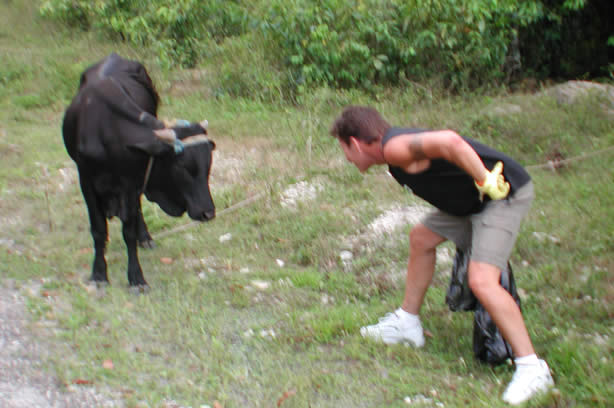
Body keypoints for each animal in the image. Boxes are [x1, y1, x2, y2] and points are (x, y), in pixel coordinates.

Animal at [62, 53, 217, 290]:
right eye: (181, 166)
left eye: (208, 165)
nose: (208, 213)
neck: (106, 131)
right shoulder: (86, 180)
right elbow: (98, 229)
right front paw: (98, 273)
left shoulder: (131, 182)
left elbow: (129, 231)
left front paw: (136, 277)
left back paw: (145, 237)